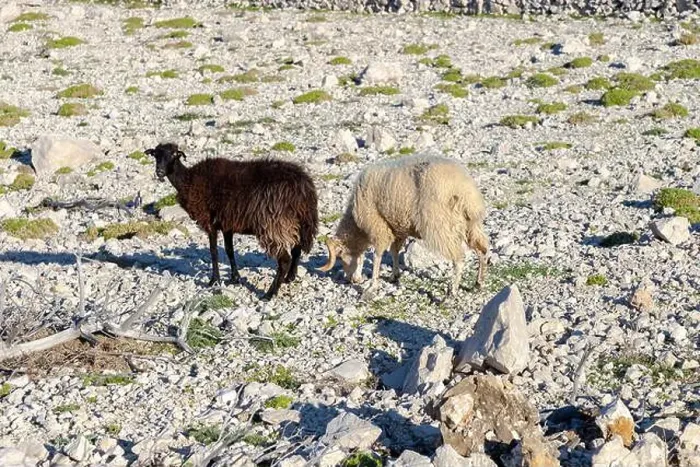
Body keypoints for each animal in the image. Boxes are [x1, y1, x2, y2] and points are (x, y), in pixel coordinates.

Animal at [145, 143, 318, 300]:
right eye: (156, 155)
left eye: (174, 155)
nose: (160, 172)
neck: (188, 180)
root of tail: (303, 188)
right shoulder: (227, 224)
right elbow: (229, 251)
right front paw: (235, 278)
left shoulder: (210, 222)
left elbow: (214, 252)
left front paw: (214, 280)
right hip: (297, 222)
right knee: (297, 249)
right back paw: (290, 278)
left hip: (273, 224)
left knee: (284, 260)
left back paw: (269, 294)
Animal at [318, 153, 488, 299]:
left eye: (340, 257)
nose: (351, 281)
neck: (357, 227)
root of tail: (464, 190)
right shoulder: (398, 228)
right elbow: (394, 251)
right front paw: (394, 275)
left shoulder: (378, 226)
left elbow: (378, 255)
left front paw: (372, 286)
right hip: (471, 225)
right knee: (482, 249)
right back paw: (479, 282)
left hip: (439, 225)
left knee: (459, 258)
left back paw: (452, 291)